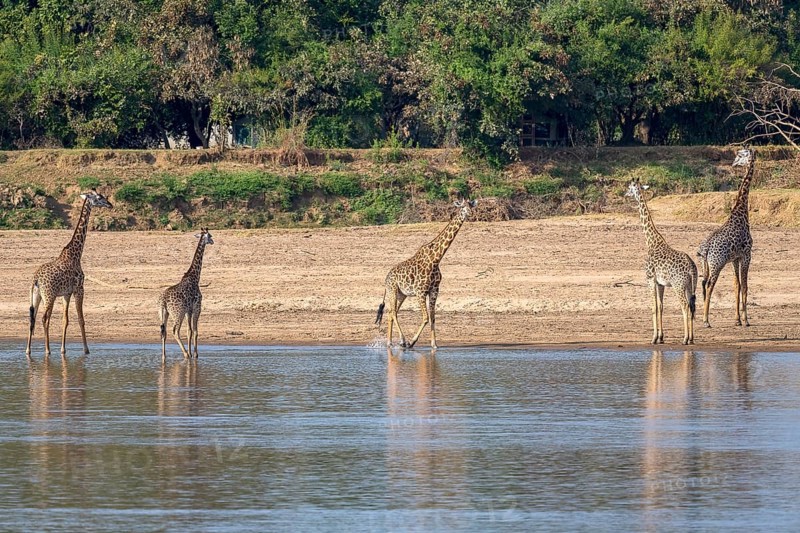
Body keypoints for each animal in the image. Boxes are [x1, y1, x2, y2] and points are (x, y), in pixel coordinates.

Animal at [25, 189, 113, 357]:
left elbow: (65, 320)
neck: (76, 254)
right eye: (99, 197)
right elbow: (81, 319)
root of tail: (35, 279)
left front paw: (63, 350)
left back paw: (28, 351)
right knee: (44, 318)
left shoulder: (66, 293)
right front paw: (86, 350)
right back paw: (47, 350)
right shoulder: (79, 289)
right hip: (49, 296)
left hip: (36, 296)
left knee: (32, 318)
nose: (110, 205)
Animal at [159, 228, 213, 362]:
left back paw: (164, 356)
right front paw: (195, 354)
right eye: (210, 235)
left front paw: (192, 353)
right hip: (179, 313)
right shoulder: (197, 307)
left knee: (164, 332)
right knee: (174, 331)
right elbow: (195, 331)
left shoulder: (189, 310)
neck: (195, 277)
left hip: (164, 313)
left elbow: (189, 331)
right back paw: (185, 354)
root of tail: (163, 301)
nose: (212, 241)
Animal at [375, 199, 477, 350]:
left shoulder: (434, 290)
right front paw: (411, 342)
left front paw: (434, 345)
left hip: (401, 294)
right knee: (393, 312)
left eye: (471, 206)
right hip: (393, 290)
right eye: (463, 207)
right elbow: (425, 318)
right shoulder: (420, 291)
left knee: (391, 313)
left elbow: (433, 317)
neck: (436, 259)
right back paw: (402, 341)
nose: (470, 213)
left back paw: (389, 342)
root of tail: (386, 279)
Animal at [626, 179, 698, 345]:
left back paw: (685, 339)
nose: (625, 194)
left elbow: (653, 307)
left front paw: (653, 338)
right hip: (691, 285)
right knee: (691, 306)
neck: (651, 242)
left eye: (629, 187)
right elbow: (661, 306)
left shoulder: (650, 279)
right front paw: (661, 337)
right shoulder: (661, 283)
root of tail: (691, 267)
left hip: (678, 285)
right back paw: (691, 339)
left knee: (684, 306)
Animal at [697, 147, 755, 328]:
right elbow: (745, 286)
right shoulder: (747, 255)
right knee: (709, 285)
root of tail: (705, 249)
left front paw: (737, 320)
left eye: (741, 155)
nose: (734, 164)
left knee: (702, 284)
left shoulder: (735, 259)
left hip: (706, 265)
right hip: (717, 264)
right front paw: (746, 320)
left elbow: (737, 285)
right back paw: (706, 321)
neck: (741, 213)